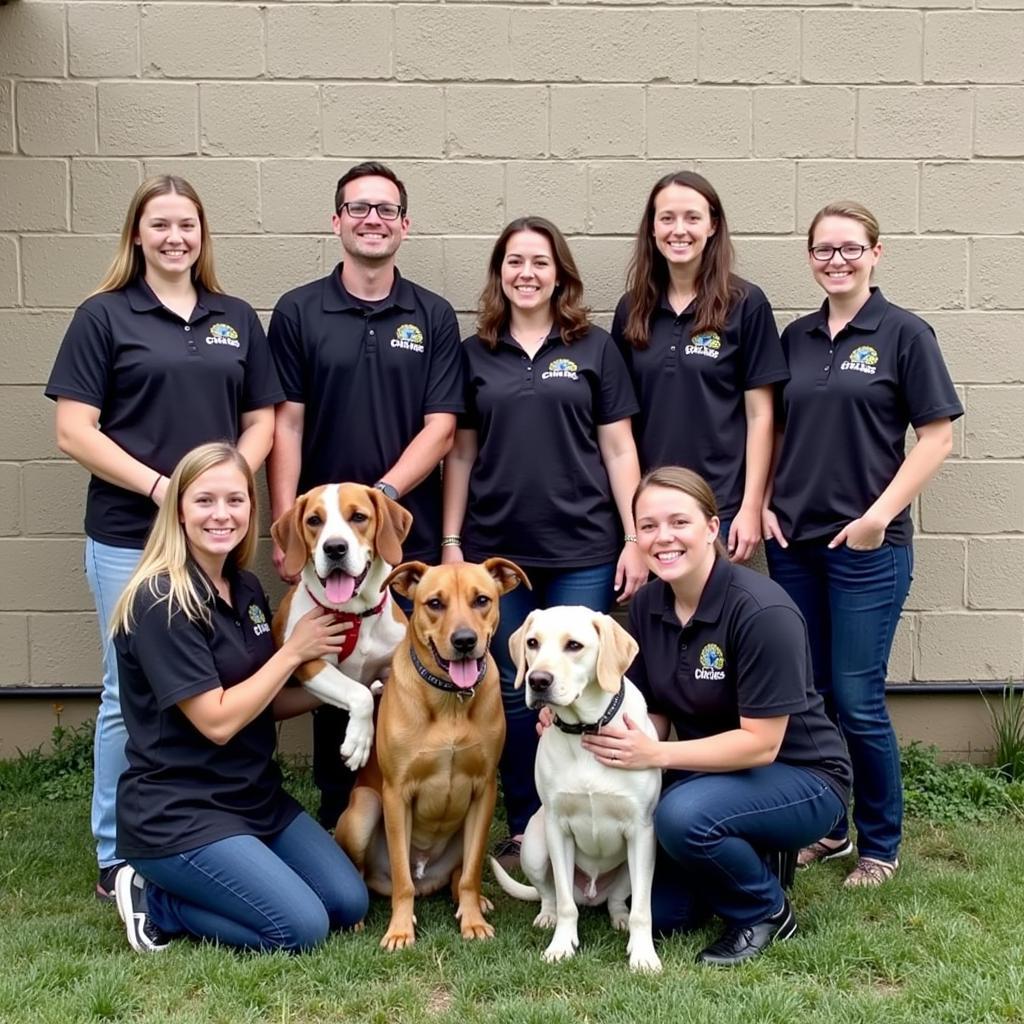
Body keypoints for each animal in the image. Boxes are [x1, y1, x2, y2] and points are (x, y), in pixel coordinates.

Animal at [274, 483, 413, 770]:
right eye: (314, 520)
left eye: (359, 517)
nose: (335, 548)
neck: (357, 614)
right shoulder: (309, 662)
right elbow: (360, 693)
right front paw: (360, 740)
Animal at [337, 561, 528, 950]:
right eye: (435, 603)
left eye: (481, 600)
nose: (465, 641)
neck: (450, 700)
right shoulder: (396, 794)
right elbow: (402, 880)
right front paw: (399, 930)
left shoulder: (484, 790)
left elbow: (471, 872)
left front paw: (472, 920)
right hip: (364, 807)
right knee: (366, 874)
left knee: (458, 873)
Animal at [489, 606, 663, 974]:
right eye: (532, 643)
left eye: (574, 645)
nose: (537, 680)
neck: (585, 728)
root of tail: (591, 893)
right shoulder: (558, 828)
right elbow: (566, 905)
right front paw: (561, 946)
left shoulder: (641, 831)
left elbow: (643, 910)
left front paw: (643, 955)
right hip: (535, 849)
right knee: (553, 894)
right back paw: (548, 916)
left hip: (633, 865)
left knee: (618, 900)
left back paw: (620, 919)